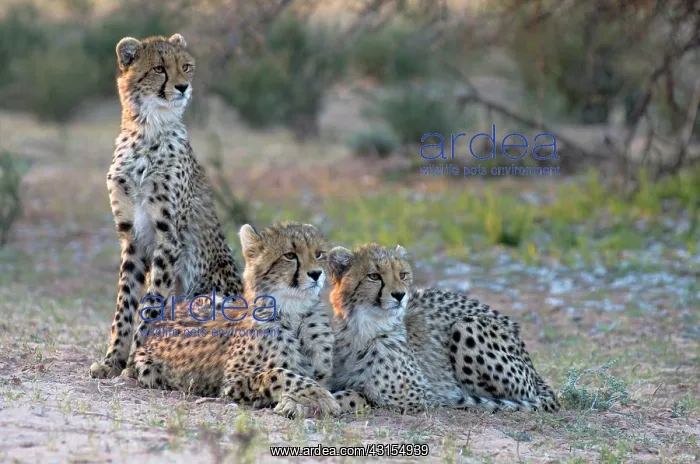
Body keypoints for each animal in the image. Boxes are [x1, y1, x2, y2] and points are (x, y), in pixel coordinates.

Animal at [89, 33, 244, 380]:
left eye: (185, 66)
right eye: (159, 68)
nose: (183, 87)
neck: (146, 131)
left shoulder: (168, 238)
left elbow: (152, 302)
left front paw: (135, 361)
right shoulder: (132, 238)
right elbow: (126, 303)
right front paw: (112, 360)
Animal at [130, 221, 362, 418]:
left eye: (319, 254)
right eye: (289, 255)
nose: (316, 273)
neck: (296, 314)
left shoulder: (324, 376)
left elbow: (348, 393)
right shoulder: (232, 382)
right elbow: (279, 374)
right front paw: (316, 396)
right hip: (147, 367)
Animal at [328, 243, 560, 415]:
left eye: (402, 275)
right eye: (374, 276)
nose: (400, 295)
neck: (361, 328)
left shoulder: (415, 396)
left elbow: (358, 394)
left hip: (467, 326)